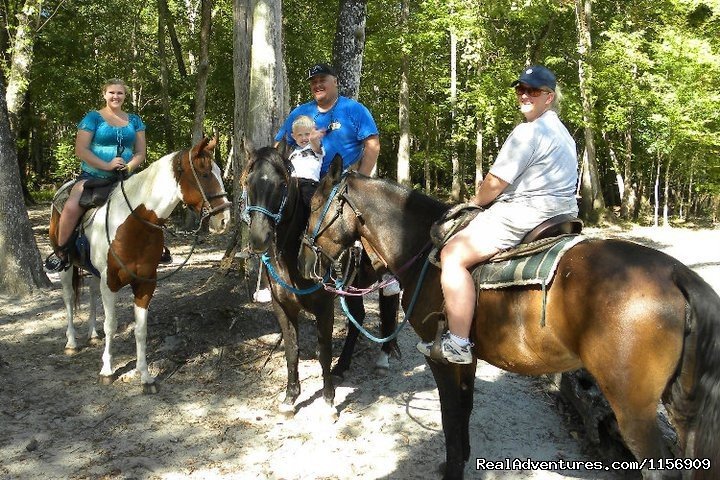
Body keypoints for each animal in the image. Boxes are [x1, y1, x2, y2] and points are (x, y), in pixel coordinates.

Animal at [50, 137, 231, 392]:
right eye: (205, 174)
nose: (224, 220)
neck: (133, 224)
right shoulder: (111, 283)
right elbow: (111, 325)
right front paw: (107, 370)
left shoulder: (146, 284)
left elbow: (141, 329)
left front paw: (145, 376)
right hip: (66, 266)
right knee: (67, 297)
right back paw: (72, 342)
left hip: (95, 273)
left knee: (92, 294)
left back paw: (92, 334)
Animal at [242, 145, 400, 416]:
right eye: (247, 182)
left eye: (282, 184)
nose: (259, 238)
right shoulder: (282, 306)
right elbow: (292, 349)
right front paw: (290, 398)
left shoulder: (324, 306)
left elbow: (323, 350)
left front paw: (328, 401)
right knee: (358, 317)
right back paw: (342, 366)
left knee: (389, 309)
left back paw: (383, 358)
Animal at [298, 156, 720, 478]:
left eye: (314, 207)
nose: (303, 263)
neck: (421, 248)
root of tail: (676, 273)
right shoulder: (465, 358)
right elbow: (464, 407)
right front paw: (462, 459)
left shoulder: (438, 358)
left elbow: (450, 413)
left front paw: (453, 468)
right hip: (680, 411)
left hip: (633, 410)